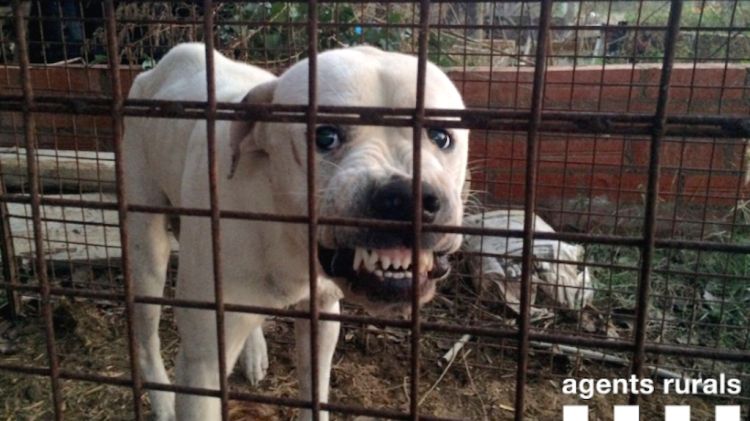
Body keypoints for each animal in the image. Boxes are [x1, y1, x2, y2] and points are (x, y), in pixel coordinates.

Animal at [124, 43, 470, 420]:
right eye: (325, 136)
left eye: (441, 137)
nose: (407, 198)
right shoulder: (203, 365)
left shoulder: (323, 318)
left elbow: (314, 387)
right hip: (146, 251)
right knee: (146, 336)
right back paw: (162, 403)